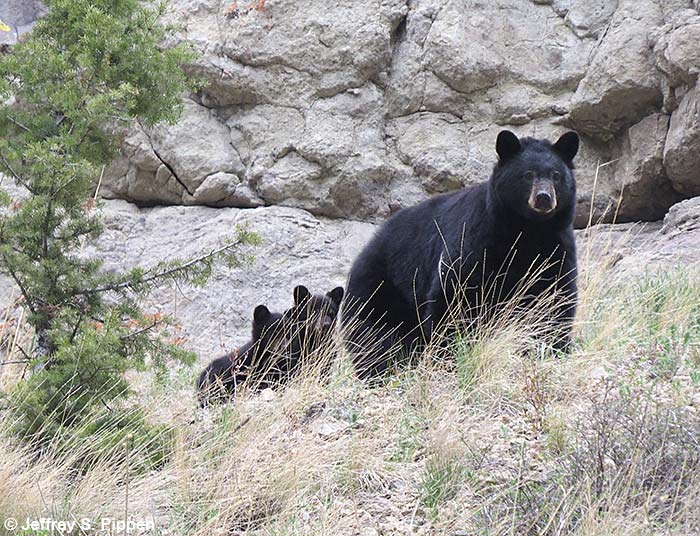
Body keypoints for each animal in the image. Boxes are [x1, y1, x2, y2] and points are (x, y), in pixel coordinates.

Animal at [341, 130, 579, 379]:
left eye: (556, 175)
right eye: (527, 174)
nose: (543, 198)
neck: (528, 229)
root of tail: (366, 248)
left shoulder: (555, 247)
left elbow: (554, 297)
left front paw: (553, 349)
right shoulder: (479, 236)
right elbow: (456, 292)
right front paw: (450, 354)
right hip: (383, 286)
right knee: (375, 334)